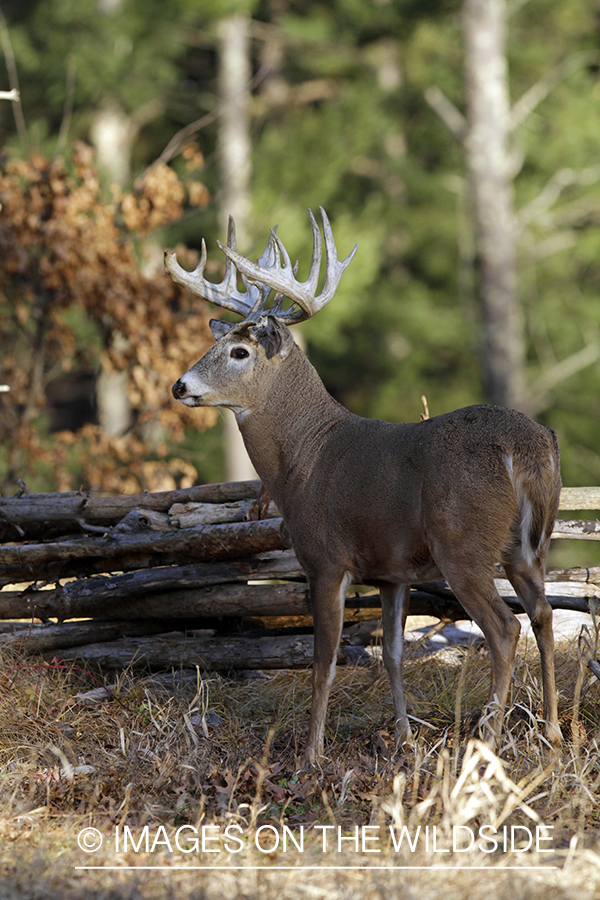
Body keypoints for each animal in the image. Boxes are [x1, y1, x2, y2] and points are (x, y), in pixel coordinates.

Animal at [168, 207, 564, 764]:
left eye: (240, 351)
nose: (179, 386)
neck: (303, 458)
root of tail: (531, 445)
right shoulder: (390, 571)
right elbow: (392, 655)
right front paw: (403, 741)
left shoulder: (326, 558)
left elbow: (323, 663)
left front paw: (312, 755)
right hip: (529, 548)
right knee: (544, 615)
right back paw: (552, 733)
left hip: (462, 543)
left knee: (506, 628)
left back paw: (485, 743)